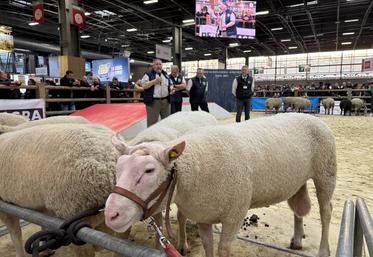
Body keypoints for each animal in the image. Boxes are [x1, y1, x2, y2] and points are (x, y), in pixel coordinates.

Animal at [105, 113, 338, 256]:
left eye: (149, 171)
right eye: (118, 167)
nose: (111, 215)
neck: (196, 167)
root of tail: (311, 116)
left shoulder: (235, 214)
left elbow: (223, 249)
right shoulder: (203, 215)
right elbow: (208, 246)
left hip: (326, 171)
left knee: (326, 211)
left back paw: (323, 250)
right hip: (297, 180)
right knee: (298, 209)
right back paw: (297, 240)